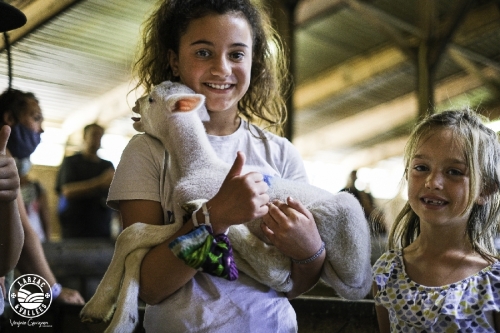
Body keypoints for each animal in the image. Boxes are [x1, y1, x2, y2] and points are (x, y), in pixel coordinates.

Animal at [81, 80, 372, 332]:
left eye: (152, 99)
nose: (135, 104)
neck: (196, 164)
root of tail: (364, 276)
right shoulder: (177, 219)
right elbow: (136, 245)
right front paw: (107, 311)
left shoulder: (186, 214)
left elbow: (130, 234)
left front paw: (100, 306)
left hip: (343, 219)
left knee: (277, 268)